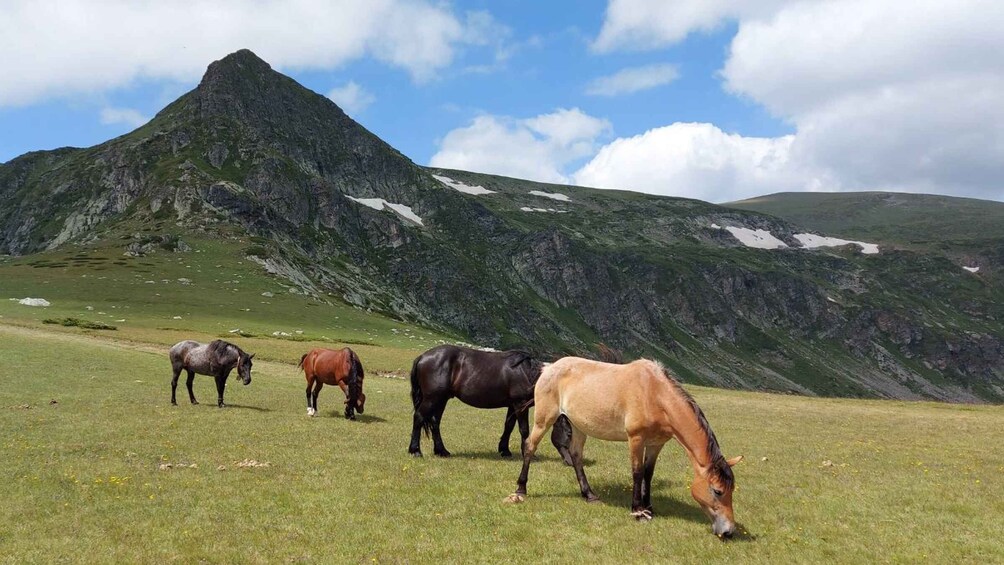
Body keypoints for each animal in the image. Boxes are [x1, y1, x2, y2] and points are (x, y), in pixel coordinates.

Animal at [407, 345, 574, 459]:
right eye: (569, 433)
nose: (570, 461)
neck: (528, 373)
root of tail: (422, 357)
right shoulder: (520, 405)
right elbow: (524, 429)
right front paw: (527, 453)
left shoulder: (512, 405)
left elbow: (508, 426)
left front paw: (504, 450)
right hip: (432, 398)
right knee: (419, 417)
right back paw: (415, 451)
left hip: (441, 399)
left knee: (435, 422)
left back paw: (441, 451)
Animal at [506, 357, 742, 537]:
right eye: (717, 491)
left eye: (731, 490)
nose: (729, 531)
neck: (654, 394)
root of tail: (549, 368)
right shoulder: (636, 439)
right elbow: (637, 473)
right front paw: (637, 510)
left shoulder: (656, 444)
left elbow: (648, 474)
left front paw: (649, 508)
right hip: (544, 420)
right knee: (530, 447)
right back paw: (521, 489)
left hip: (578, 426)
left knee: (576, 455)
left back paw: (589, 494)